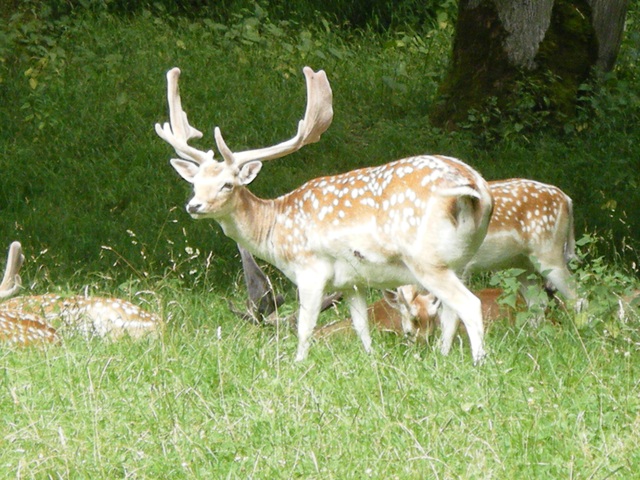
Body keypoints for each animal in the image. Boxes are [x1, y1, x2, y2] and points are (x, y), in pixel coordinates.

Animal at [156, 65, 496, 362]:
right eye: (195, 183)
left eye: (227, 184)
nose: (194, 206)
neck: (275, 228)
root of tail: (473, 186)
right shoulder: (352, 282)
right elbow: (361, 329)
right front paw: (370, 360)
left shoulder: (310, 269)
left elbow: (305, 327)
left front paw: (297, 363)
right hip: (463, 258)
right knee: (450, 311)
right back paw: (444, 356)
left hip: (426, 259)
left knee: (470, 304)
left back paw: (479, 362)